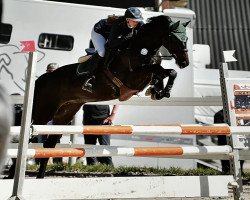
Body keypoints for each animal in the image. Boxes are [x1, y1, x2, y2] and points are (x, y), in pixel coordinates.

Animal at [32, 15, 189, 178]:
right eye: (174, 38)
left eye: (187, 38)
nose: (184, 62)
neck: (141, 47)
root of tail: (43, 79)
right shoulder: (134, 76)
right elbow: (158, 69)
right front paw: (161, 91)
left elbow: (167, 72)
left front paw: (159, 92)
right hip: (44, 112)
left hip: (65, 114)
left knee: (49, 145)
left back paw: (40, 178)